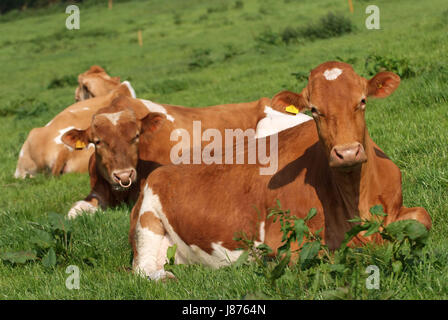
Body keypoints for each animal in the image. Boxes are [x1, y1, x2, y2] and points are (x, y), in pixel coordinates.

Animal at [129, 61, 430, 282]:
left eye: (363, 101)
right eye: (315, 110)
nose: (346, 152)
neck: (357, 201)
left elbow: (421, 218)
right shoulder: (284, 242)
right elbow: (335, 253)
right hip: (147, 221)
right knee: (143, 270)